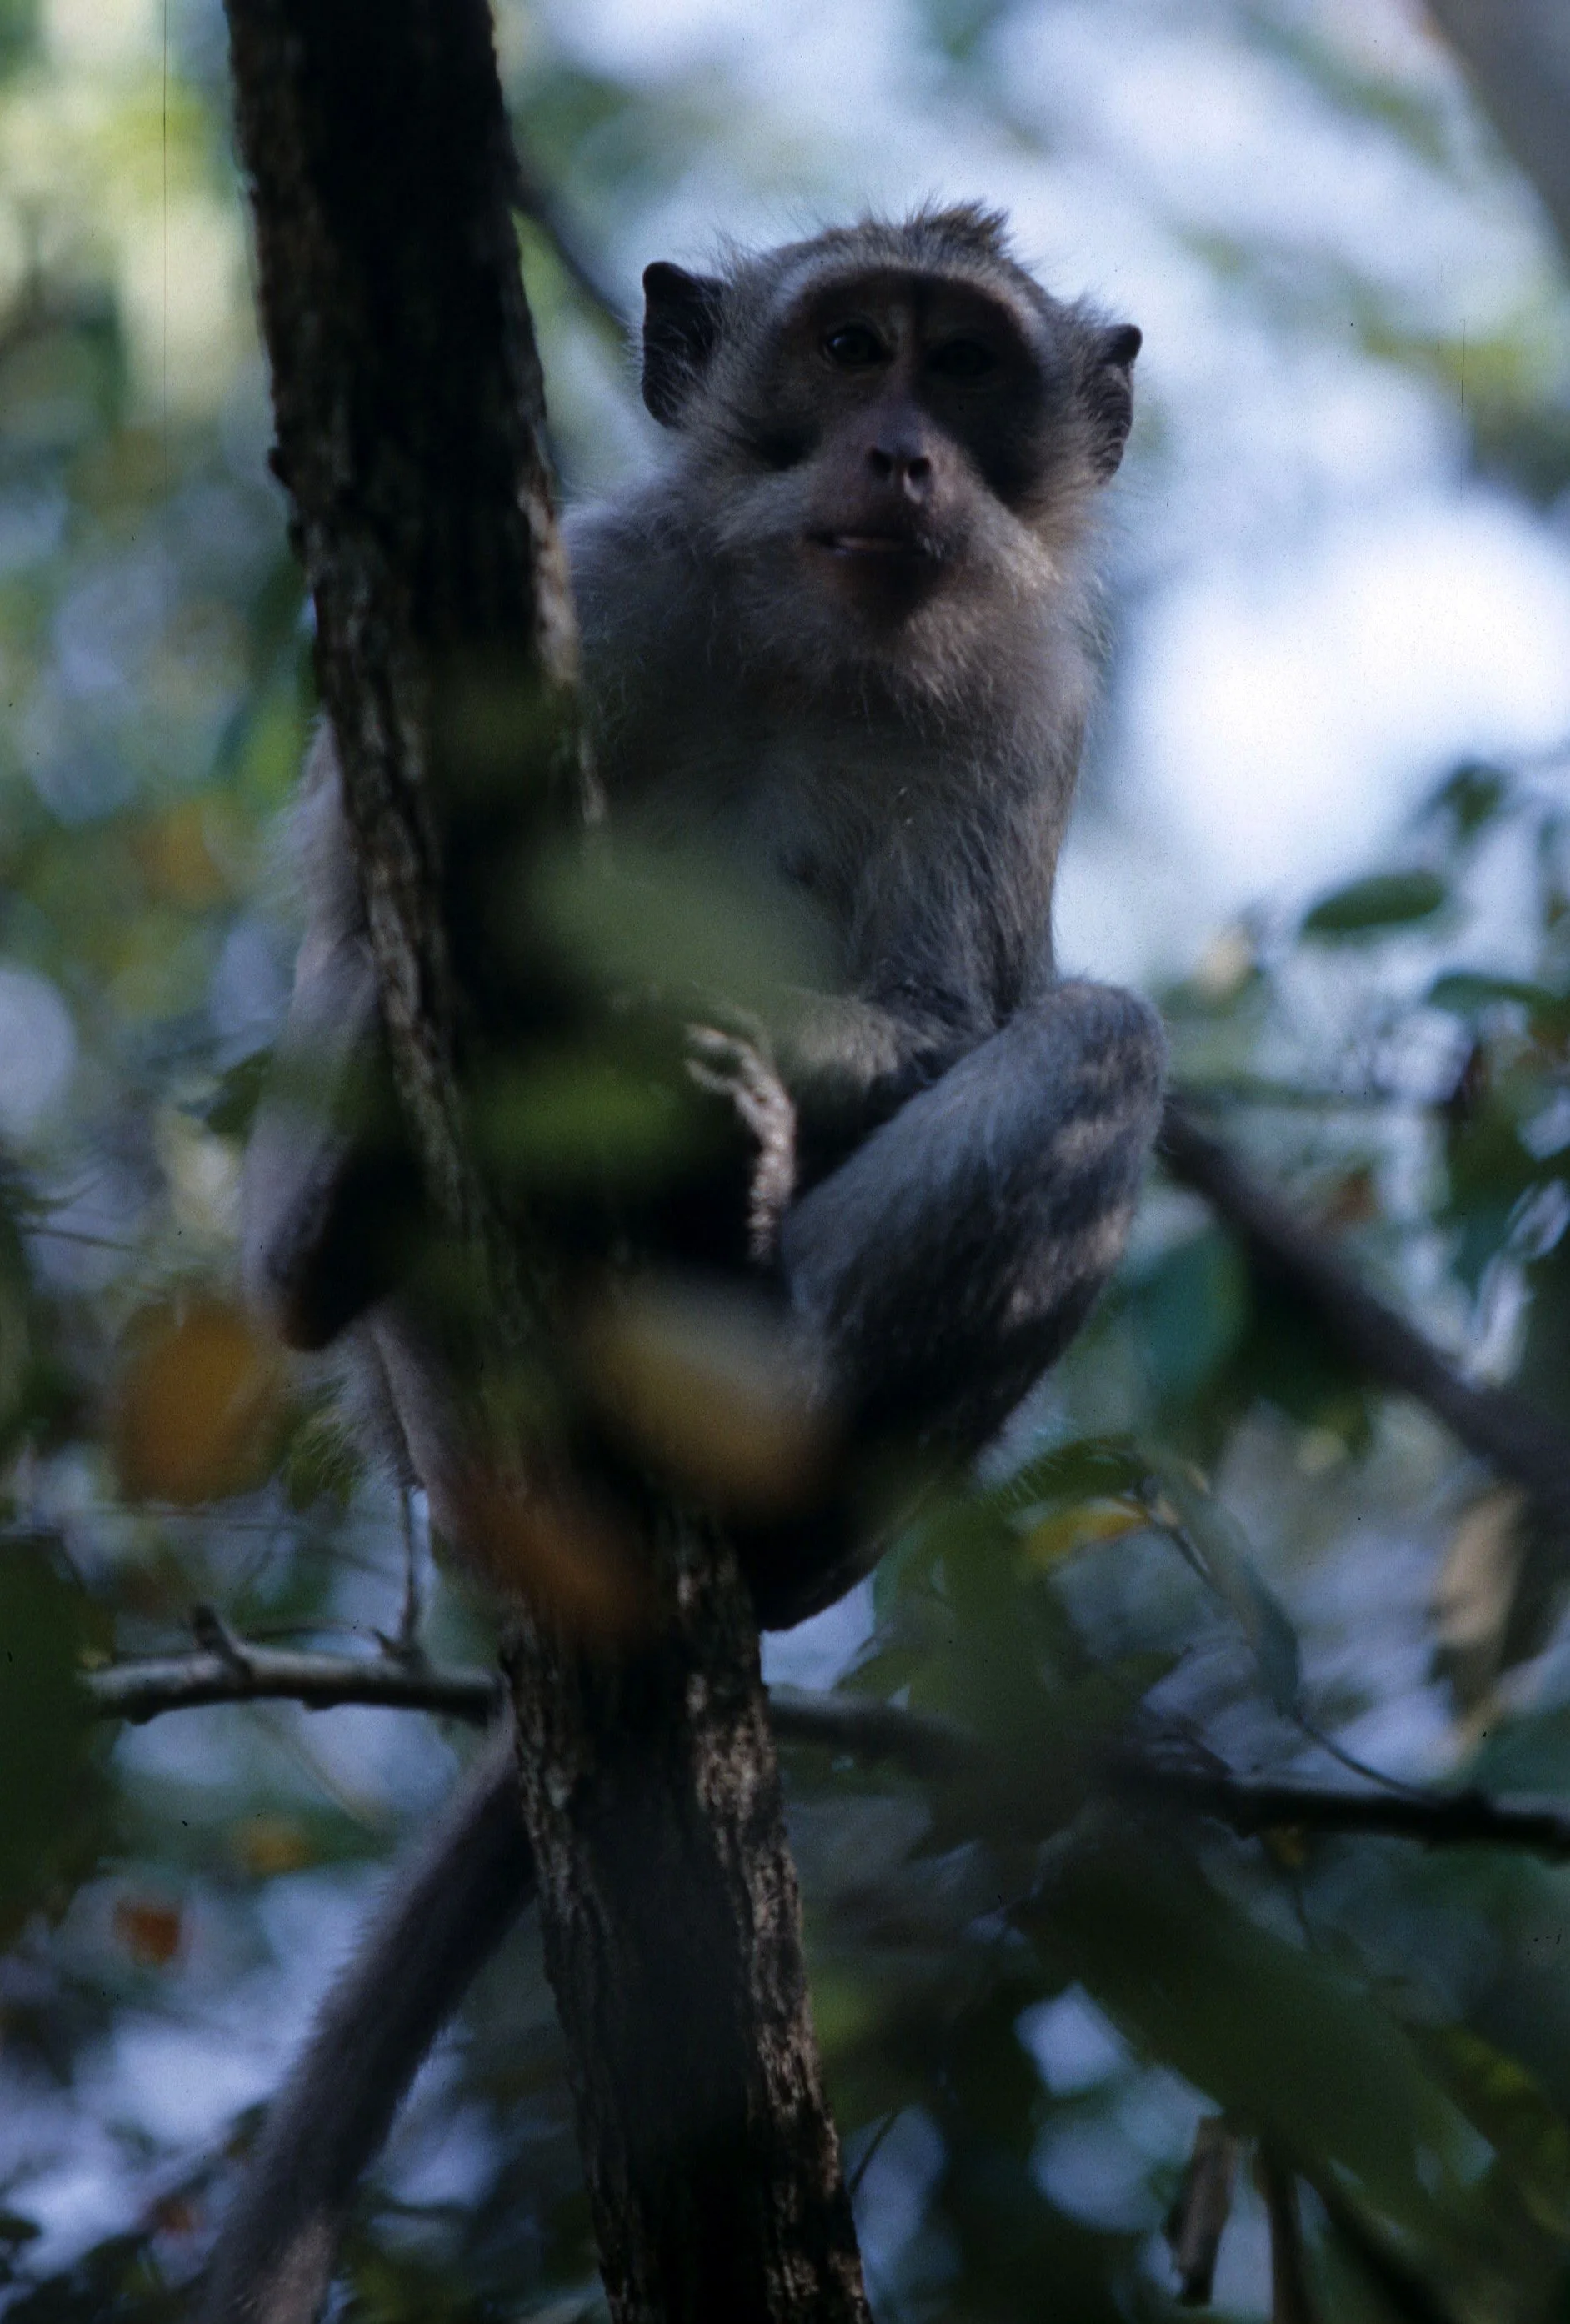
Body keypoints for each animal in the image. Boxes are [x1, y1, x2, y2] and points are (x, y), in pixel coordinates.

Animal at [209, 207, 1164, 2321]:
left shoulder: (1022, 702)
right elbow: (357, 904)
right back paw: (342, 1228)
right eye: (854, 345)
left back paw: (758, 1418)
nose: (901, 454)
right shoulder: (603, 590)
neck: (821, 637)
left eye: (968, 367)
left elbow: (955, 1014)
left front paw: (717, 1076)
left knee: (1104, 1044)